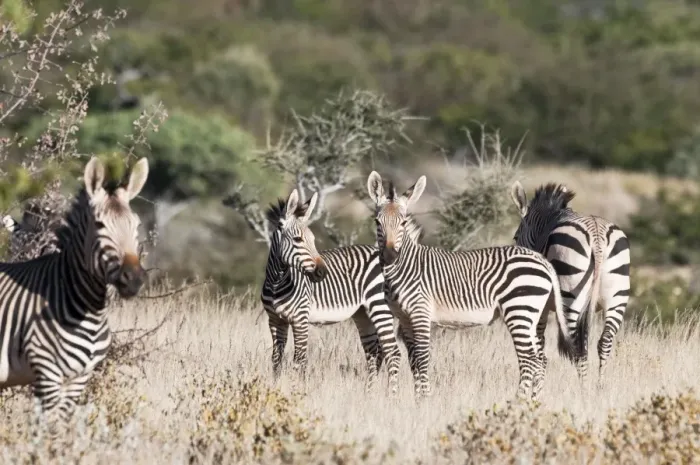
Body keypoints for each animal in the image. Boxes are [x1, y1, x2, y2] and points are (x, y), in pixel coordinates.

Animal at [0, 156, 149, 433]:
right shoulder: (47, 373)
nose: (133, 279)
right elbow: (49, 431)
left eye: (137, 226)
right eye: (99, 225)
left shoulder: (80, 378)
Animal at [261, 188, 401, 392]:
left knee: (393, 352)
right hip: (363, 314)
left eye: (313, 240)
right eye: (297, 239)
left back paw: (392, 395)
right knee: (374, 353)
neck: (276, 282)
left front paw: (297, 391)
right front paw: (275, 388)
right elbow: (276, 360)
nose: (322, 272)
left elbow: (299, 360)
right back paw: (369, 393)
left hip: (380, 306)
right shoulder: (275, 321)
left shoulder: (300, 320)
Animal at [366, 171, 574, 400]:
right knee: (540, 359)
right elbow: (413, 360)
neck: (405, 267)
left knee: (530, 360)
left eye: (403, 223)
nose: (389, 256)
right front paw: (415, 399)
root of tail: (542, 261)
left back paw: (518, 401)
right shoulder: (404, 318)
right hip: (535, 315)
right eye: (377, 222)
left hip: (519, 310)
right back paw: (534, 401)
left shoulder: (421, 314)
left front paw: (425, 399)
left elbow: (421, 358)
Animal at [510, 181, 631, 385]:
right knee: (604, 341)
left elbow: (539, 342)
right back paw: (599, 387)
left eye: (516, 237)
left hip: (570, 295)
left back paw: (583, 388)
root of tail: (597, 236)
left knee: (577, 346)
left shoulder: (542, 305)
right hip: (617, 296)